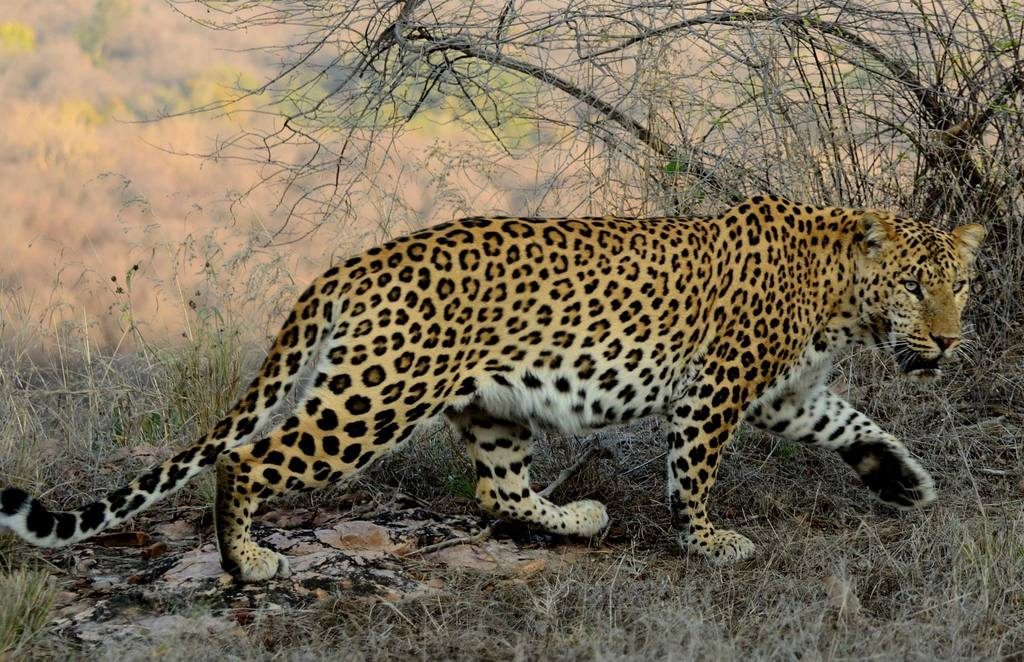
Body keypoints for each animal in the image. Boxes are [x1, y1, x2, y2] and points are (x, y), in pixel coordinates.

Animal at [1, 194, 985, 582]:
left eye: (961, 286)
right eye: (911, 285)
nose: (945, 338)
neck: (842, 301)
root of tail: (351, 265)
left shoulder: (787, 393)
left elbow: (855, 423)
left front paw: (904, 481)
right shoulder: (717, 389)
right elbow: (695, 475)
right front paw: (710, 543)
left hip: (490, 405)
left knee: (496, 489)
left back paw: (579, 517)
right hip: (374, 397)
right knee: (248, 458)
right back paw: (248, 561)